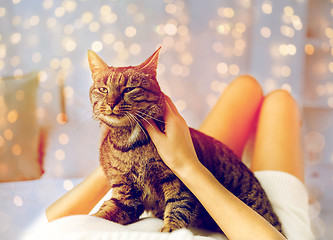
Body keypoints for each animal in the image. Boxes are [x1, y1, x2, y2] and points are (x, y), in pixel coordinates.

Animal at [87, 47, 282, 234]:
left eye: (129, 89)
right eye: (103, 89)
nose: (111, 103)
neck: (129, 140)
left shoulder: (177, 181)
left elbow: (178, 206)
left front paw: (169, 230)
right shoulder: (126, 194)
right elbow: (100, 215)